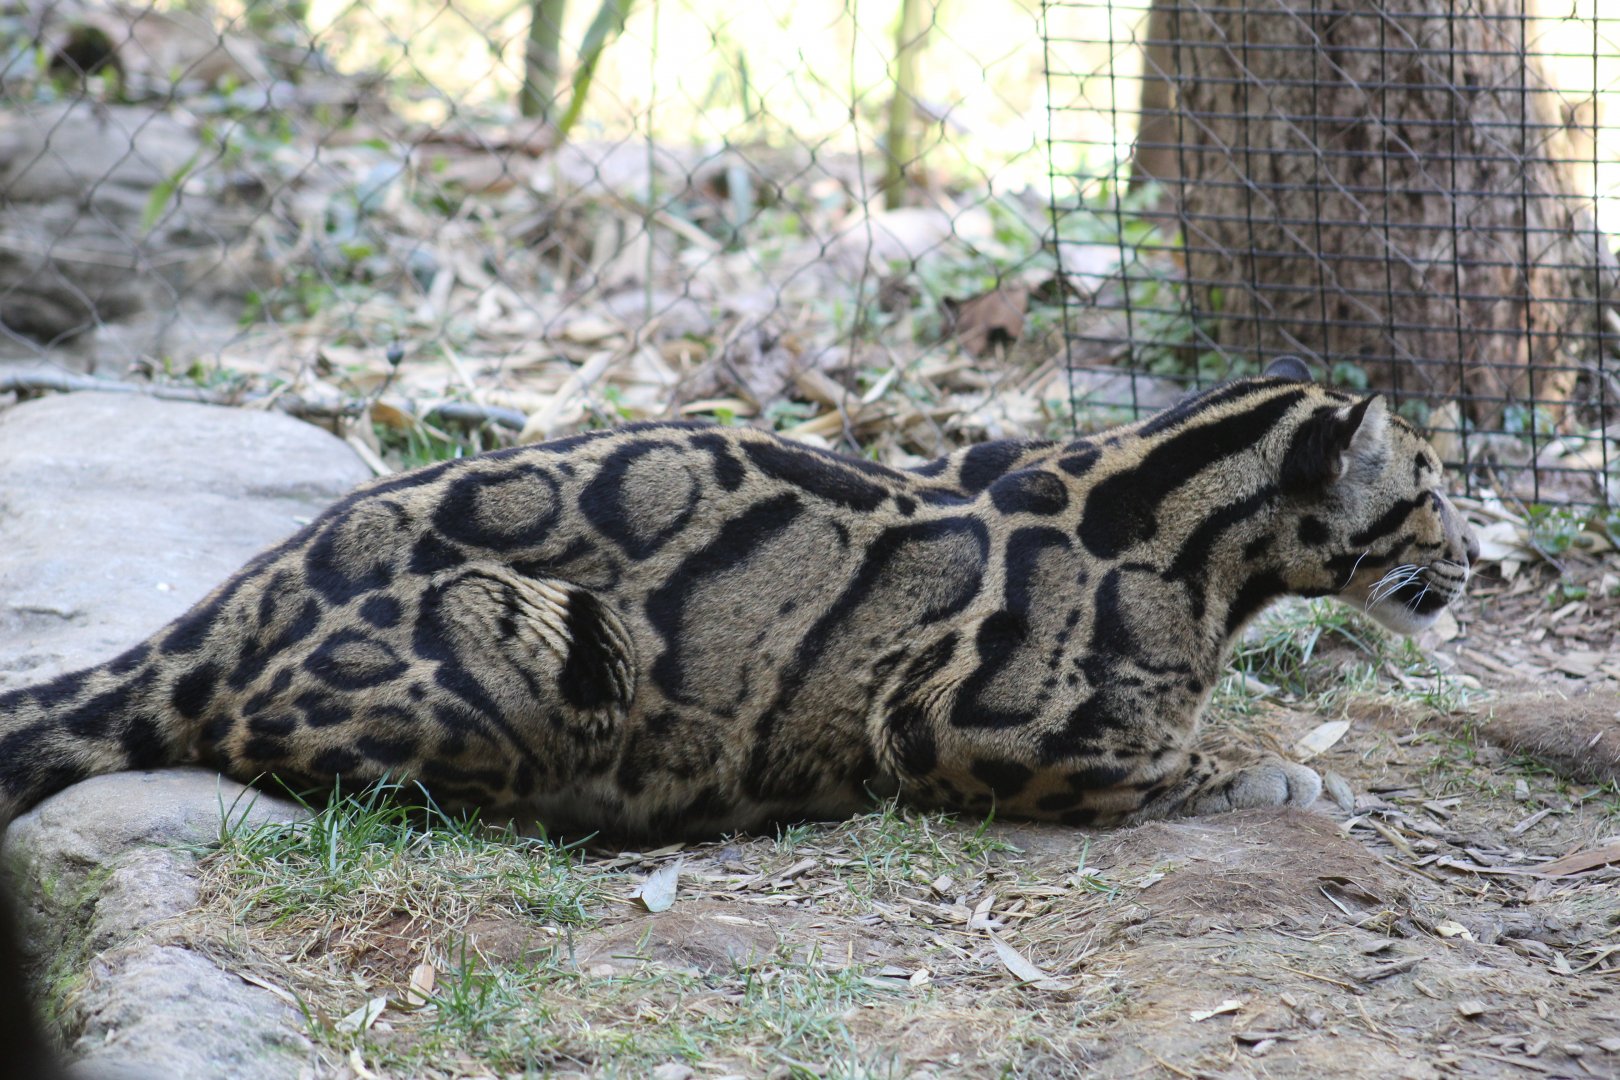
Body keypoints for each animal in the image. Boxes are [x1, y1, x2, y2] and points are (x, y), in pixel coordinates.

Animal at [0, 356, 1478, 838]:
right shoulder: (966, 721)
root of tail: (236, 600)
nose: (1485, 557)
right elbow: (1170, 760)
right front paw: (1282, 775)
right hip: (555, 646)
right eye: (1435, 485)